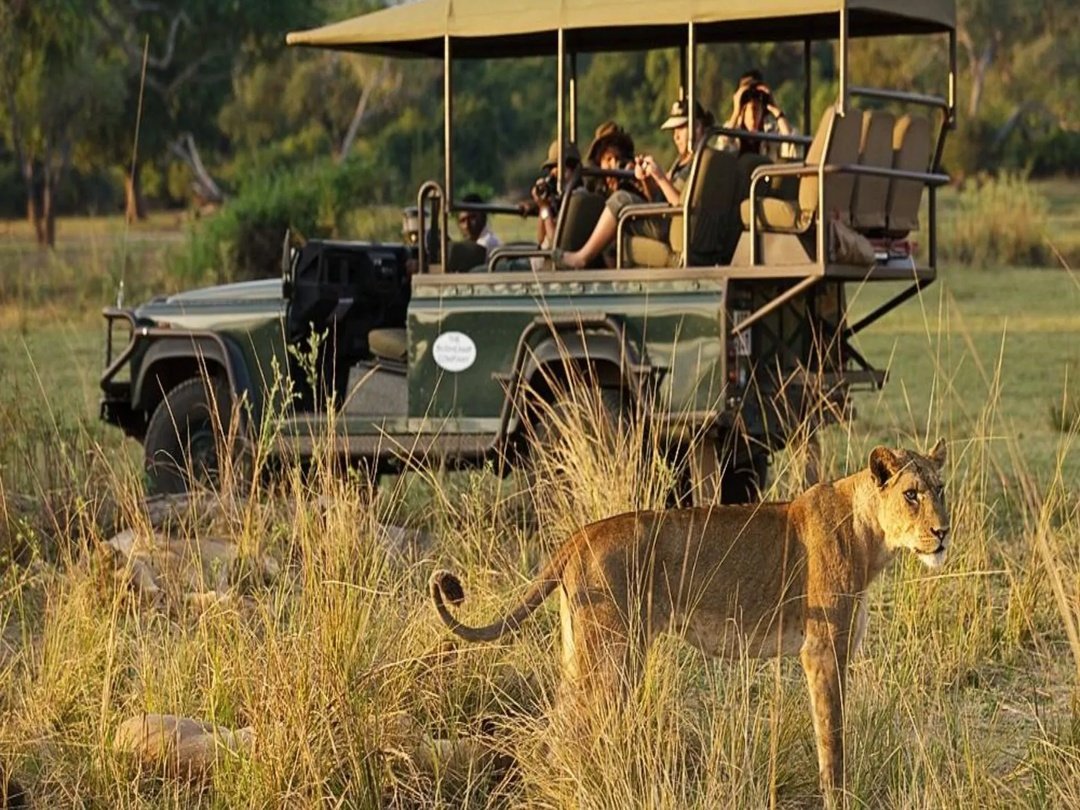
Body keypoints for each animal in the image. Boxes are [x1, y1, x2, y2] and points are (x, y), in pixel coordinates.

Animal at [430, 441, 950, 796]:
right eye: (911, 494)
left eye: (941, 490)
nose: (943, 531)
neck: (872, 538)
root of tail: (580, 534)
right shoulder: (821, 649)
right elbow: (832, 736)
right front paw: (836, 794)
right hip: (611, 656)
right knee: (567, 729)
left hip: (581, 653)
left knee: (557, 726)